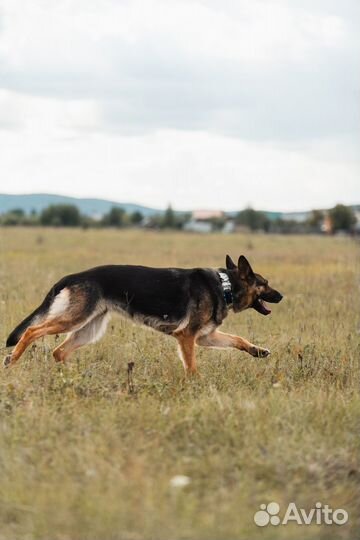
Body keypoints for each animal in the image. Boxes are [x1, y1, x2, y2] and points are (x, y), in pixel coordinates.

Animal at [4, 255, 282, 374]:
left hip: (89, 329)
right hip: (75, 320)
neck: (224, 286)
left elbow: (238, 339)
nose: (281, 296)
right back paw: (12, 359)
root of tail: (72, 276)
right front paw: (195, 387)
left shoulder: (204, 337)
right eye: (265, 283)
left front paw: (258, 351)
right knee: (33, 331)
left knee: (58, 352)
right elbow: (192, 367)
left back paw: (72, 376)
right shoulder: (187, 337)